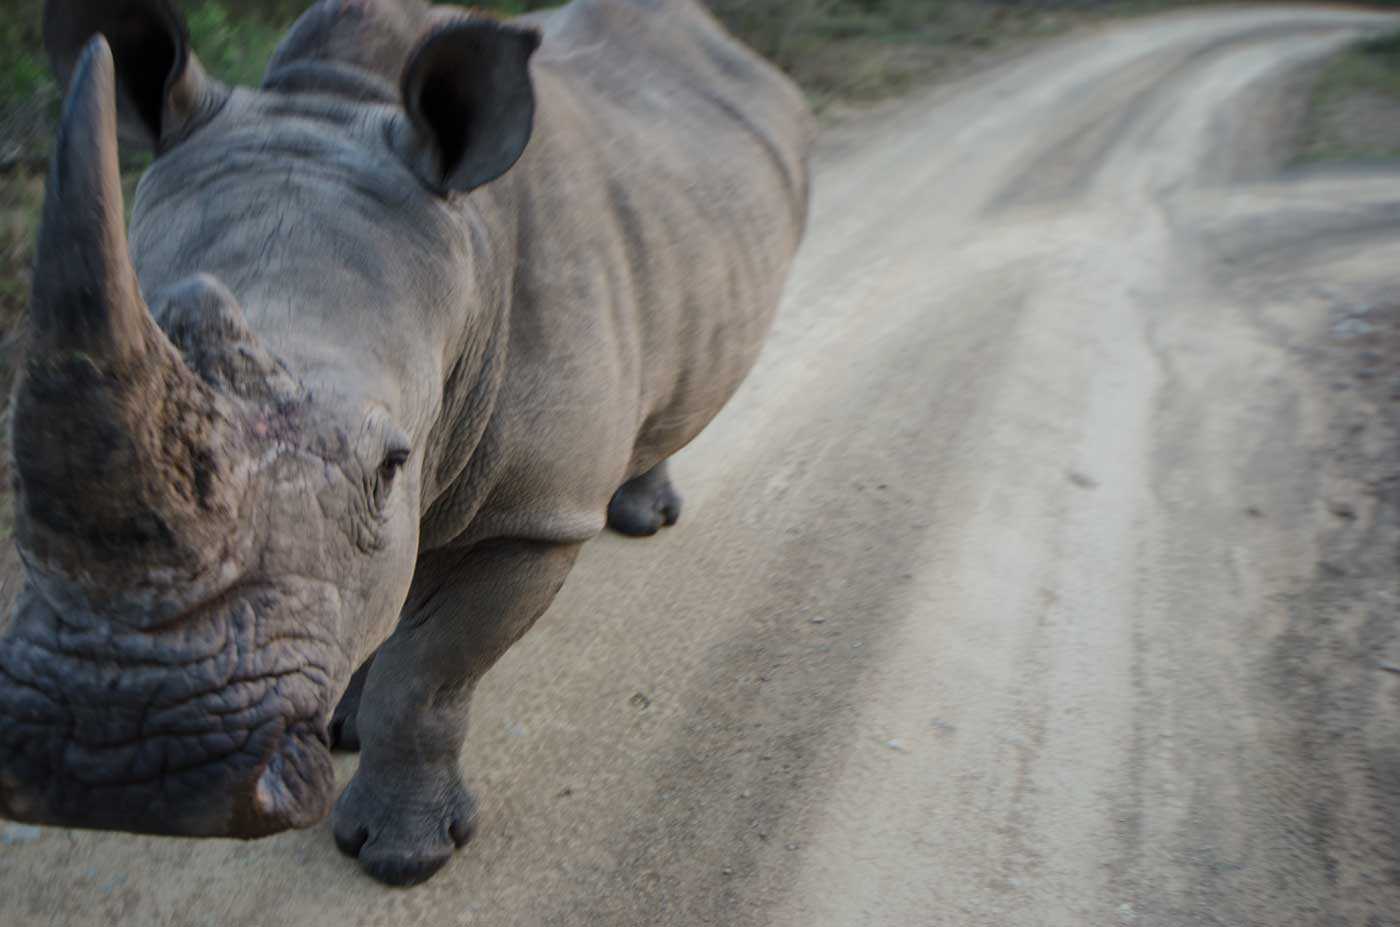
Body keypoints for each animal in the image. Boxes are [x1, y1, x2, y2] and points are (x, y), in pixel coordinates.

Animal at [0, 0, 812, 885]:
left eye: (389, 467)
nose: (122, 759)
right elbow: (379, 596)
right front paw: (340, 723)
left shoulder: (534, 514)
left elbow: (426, 674)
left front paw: (401, 851)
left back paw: (642, 517)